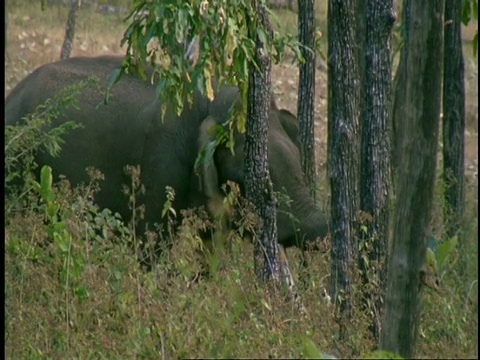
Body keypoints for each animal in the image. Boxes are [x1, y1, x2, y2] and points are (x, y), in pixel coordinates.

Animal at [3, 56, 328, 252]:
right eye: (242, 179)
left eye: (298, 162)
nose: (322, 230)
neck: (207, 103)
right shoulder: (160, 167)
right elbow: (152, 243)